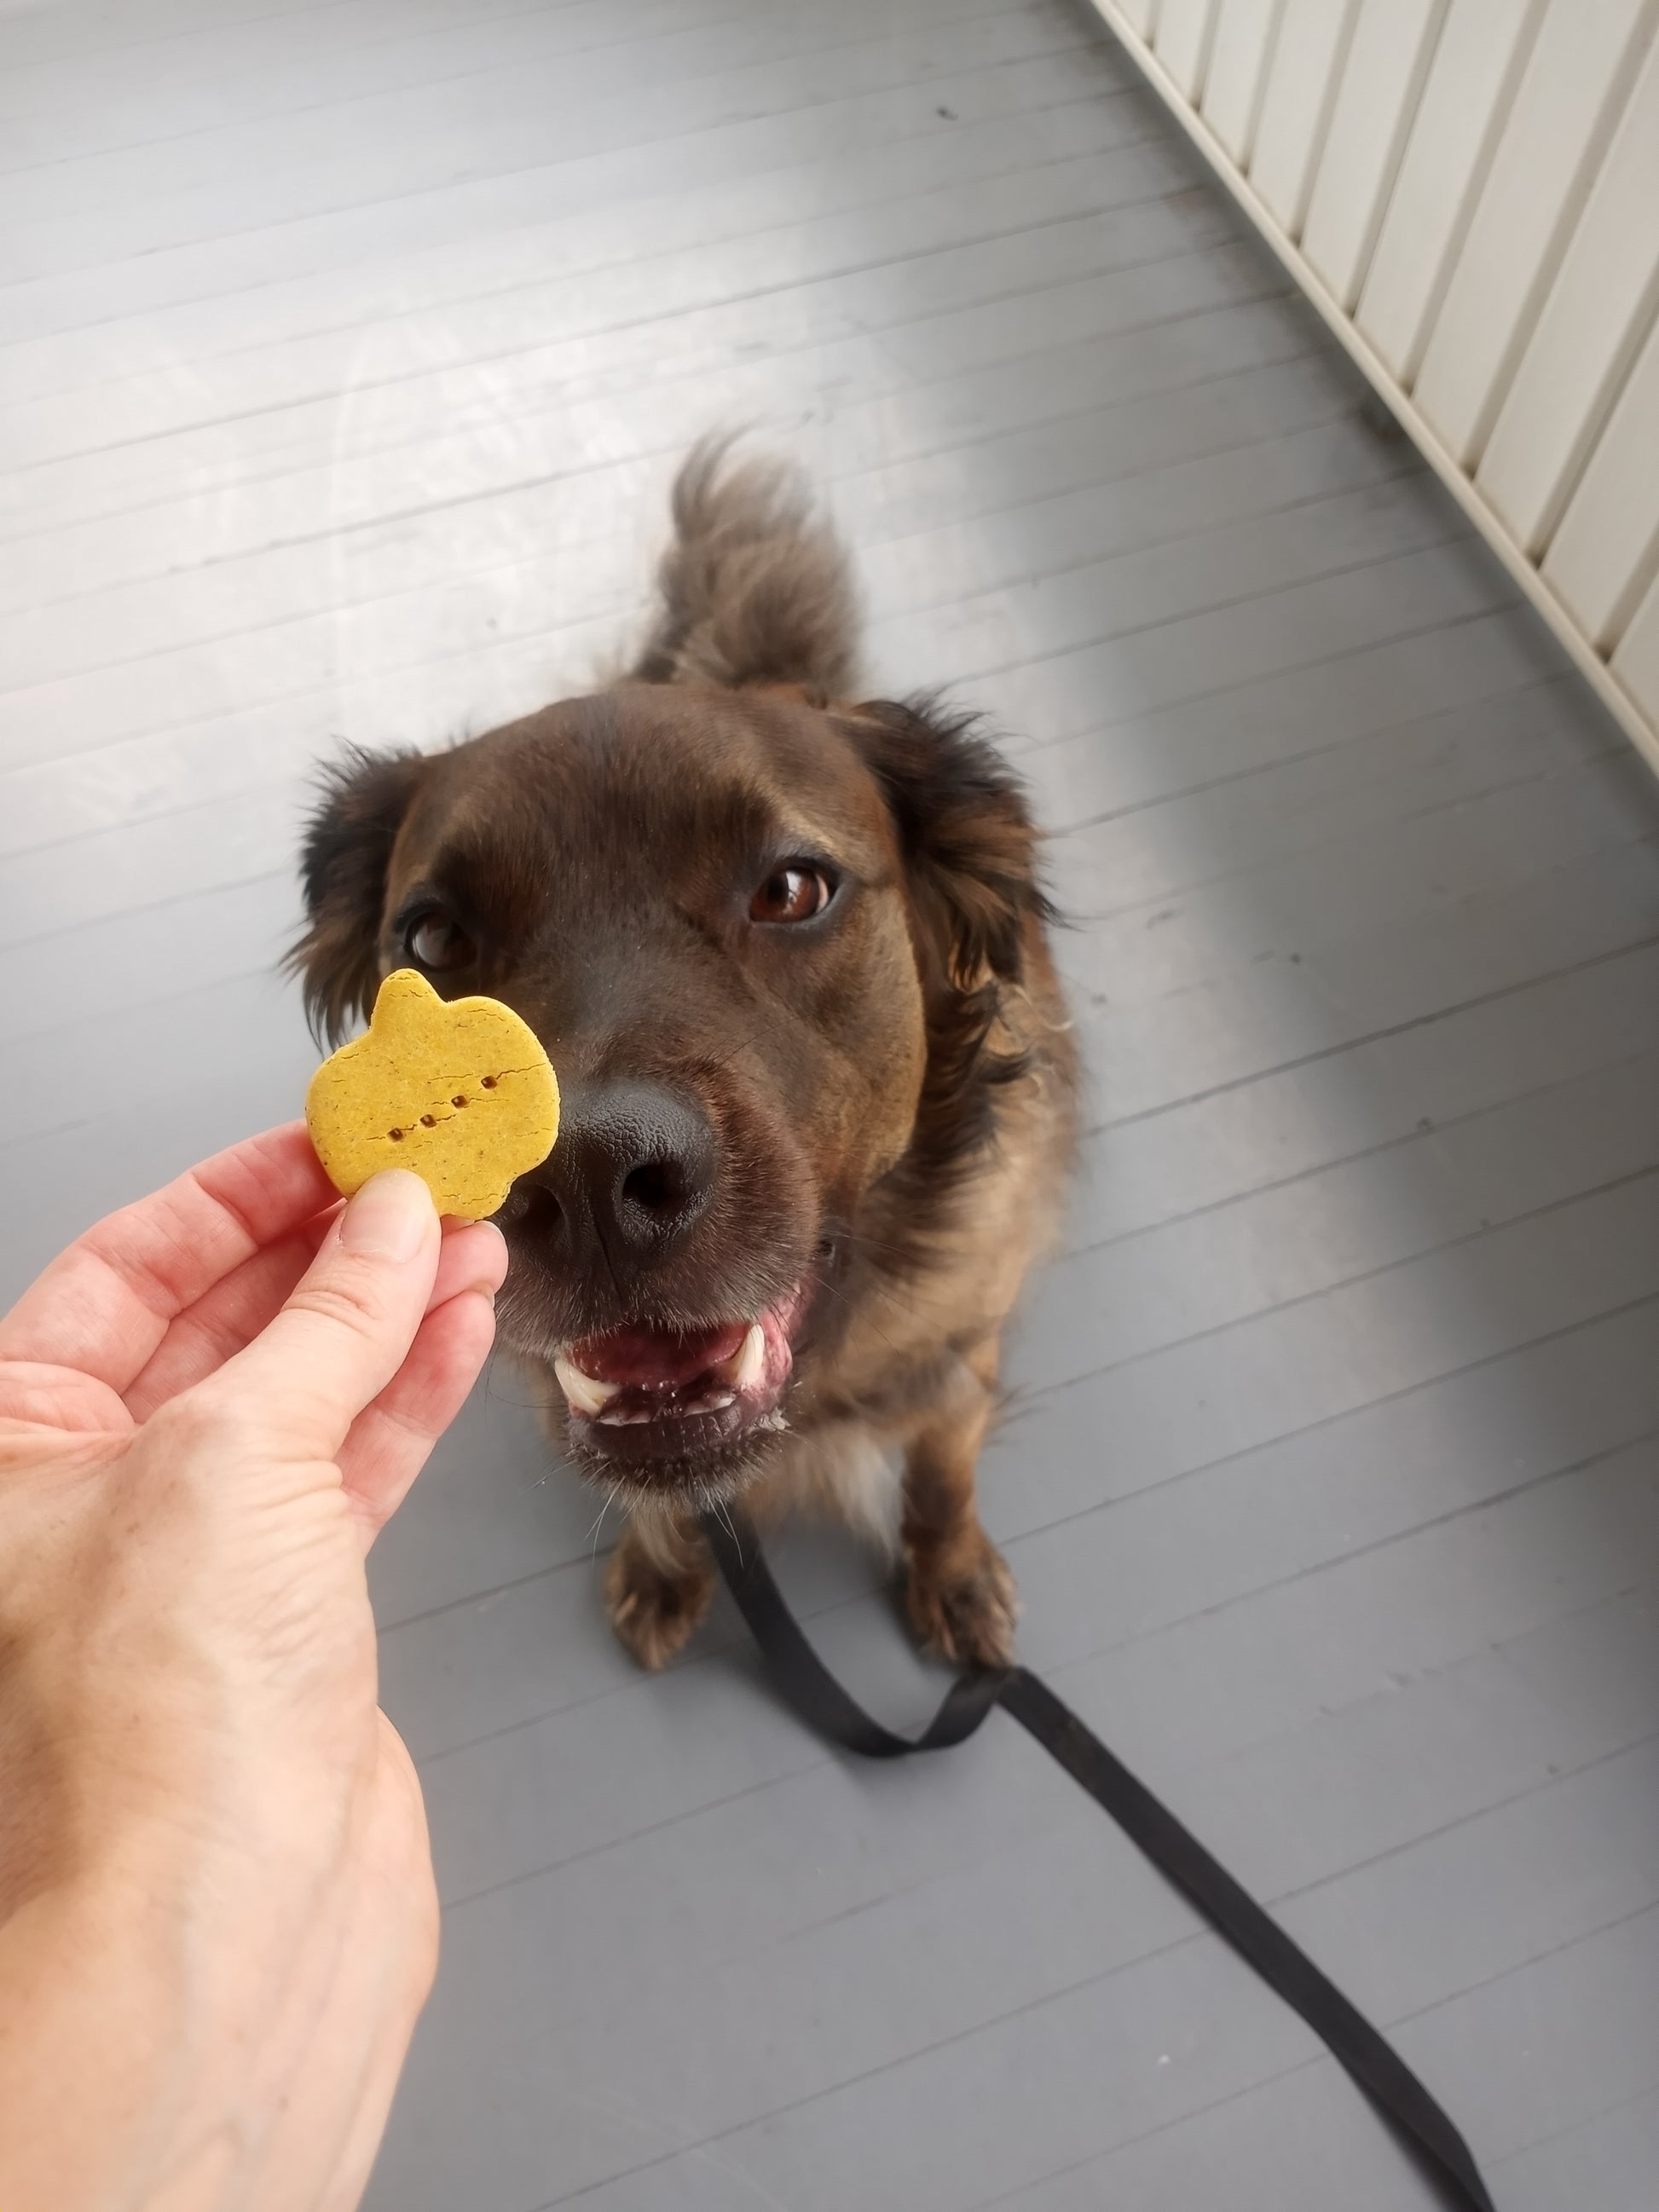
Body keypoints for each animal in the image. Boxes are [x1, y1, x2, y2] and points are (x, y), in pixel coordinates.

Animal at [294, 444, 1084, 1663]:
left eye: (792, 889)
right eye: (433, 940)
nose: (585, 1183)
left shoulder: (954, 1359)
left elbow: (940, 1478)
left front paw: (949, 1573)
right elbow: (669, 1507)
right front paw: (667, 1569)